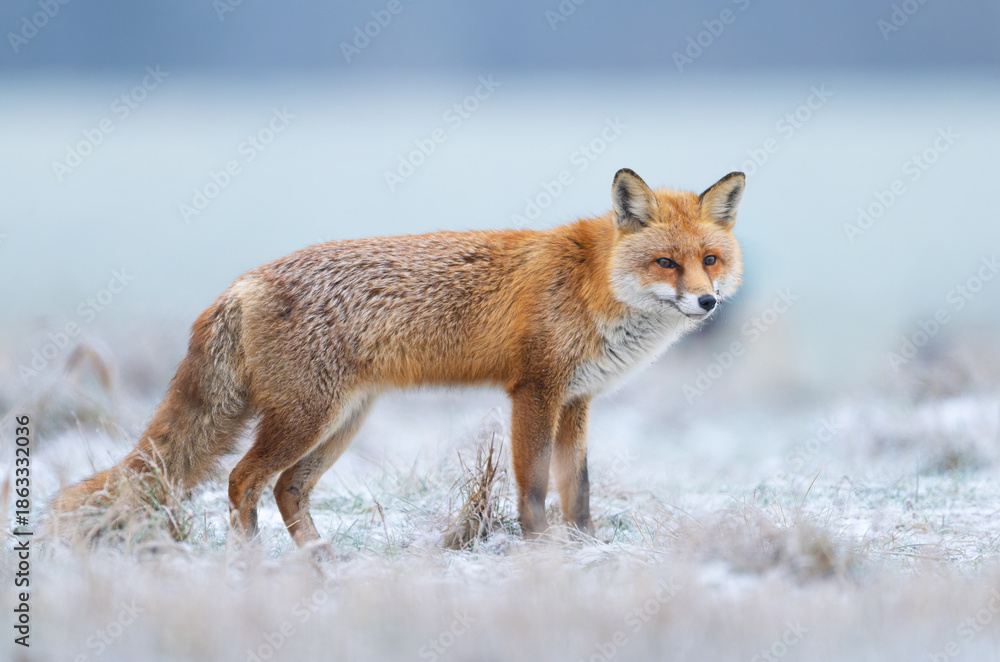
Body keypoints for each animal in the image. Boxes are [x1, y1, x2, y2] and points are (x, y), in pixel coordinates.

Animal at [54, 168, 745, 545]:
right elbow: (533, 489)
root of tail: (243, 282)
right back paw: (253, 569)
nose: (708, 302)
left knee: (286, 490)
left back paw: (323, 567)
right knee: (242, 481)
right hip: (306, 418)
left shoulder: (576, 400)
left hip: (340, 422)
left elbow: (578, 492)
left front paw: (586, 549)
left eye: (710, 260)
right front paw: (540, 554)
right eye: (666, 263)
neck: (593, 282)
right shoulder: (535, 391)